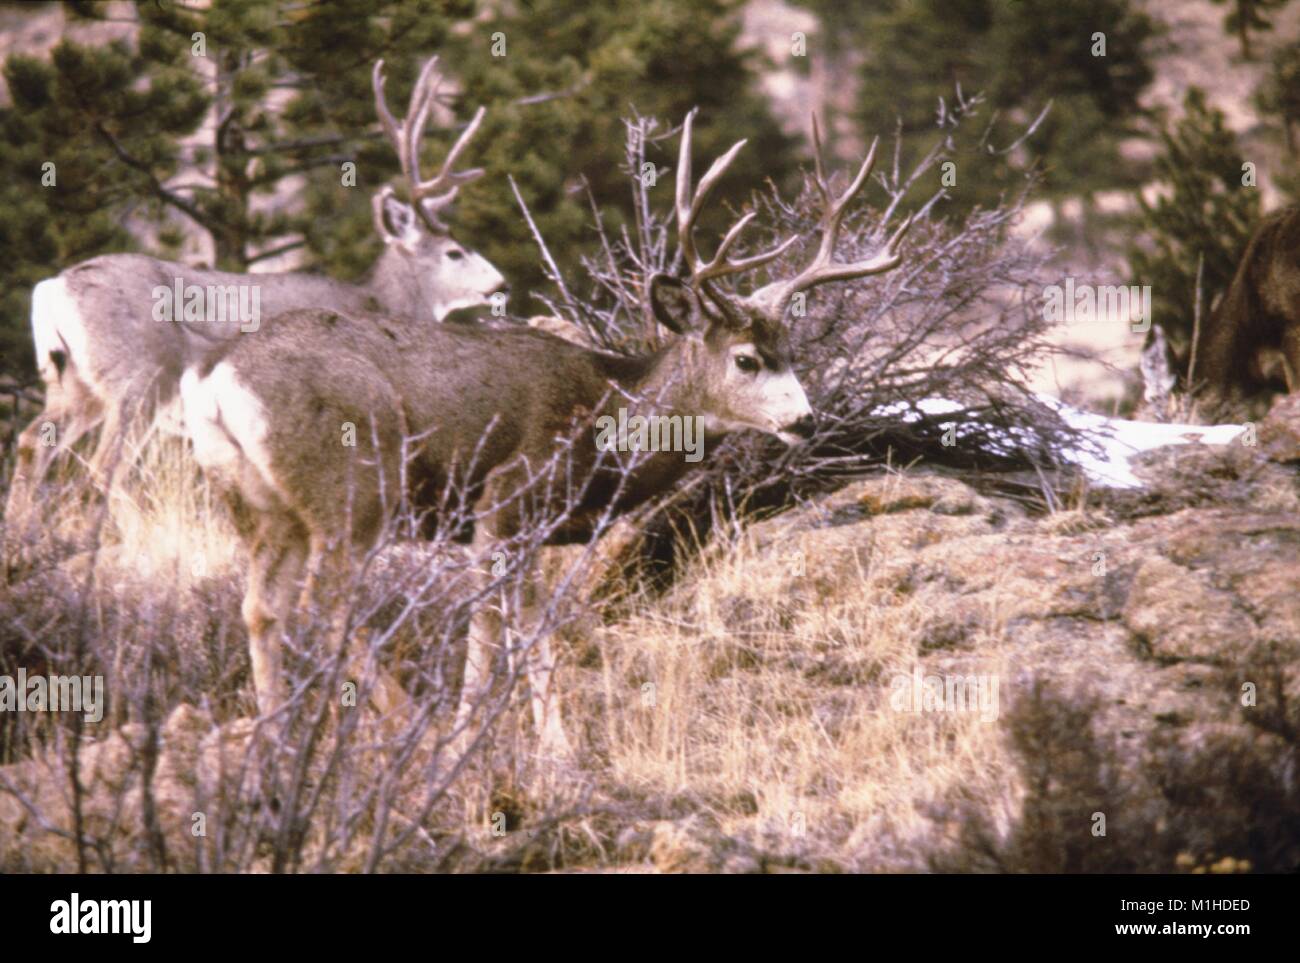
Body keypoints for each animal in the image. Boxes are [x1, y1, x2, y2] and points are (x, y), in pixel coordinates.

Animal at [4, 56, 504, 536]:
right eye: (455, 252)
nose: (501, 285)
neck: (382, 303)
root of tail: (53, 287)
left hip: (73, 382)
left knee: (32, 443)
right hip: (140, 377)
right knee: (103, 469)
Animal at [178, 109, 912, 761]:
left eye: (791, 351)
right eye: (747, 359)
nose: (804, 420)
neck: (609, 421)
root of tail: (216, 376)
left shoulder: (521, 527)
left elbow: (521, 628)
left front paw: (536, 742)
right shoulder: (506, 500)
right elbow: (498, 625)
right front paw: (488, 738)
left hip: (261, 506)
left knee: (260, 607)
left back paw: (274, 739)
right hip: (354, 486)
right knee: (327, 601)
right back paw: (403, 722)